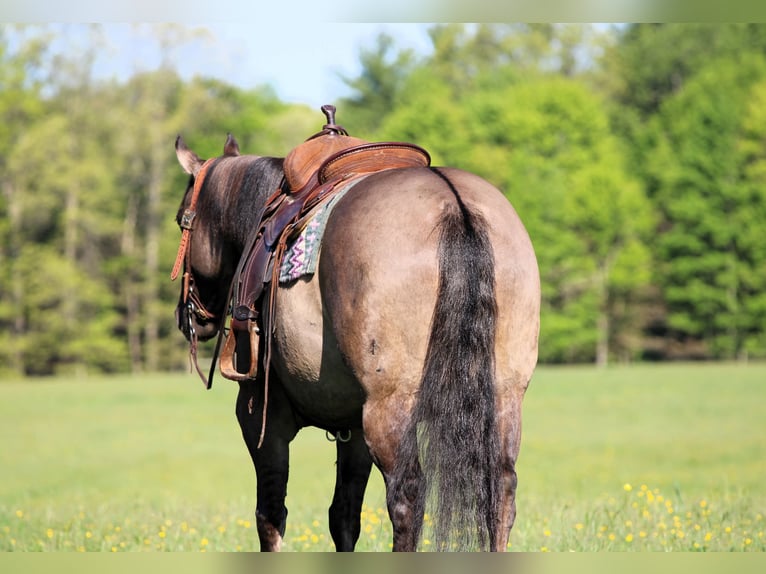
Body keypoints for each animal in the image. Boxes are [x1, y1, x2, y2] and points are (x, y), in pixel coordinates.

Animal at [171, 129, 540, 552]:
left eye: (181, 221)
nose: (189, 318)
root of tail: (454, 204)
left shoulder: (261, 417)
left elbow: (270, 514)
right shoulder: (354, 431)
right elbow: (344, 516)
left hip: (389, 405)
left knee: (407, 496)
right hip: (504, 396)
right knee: (502, 491)